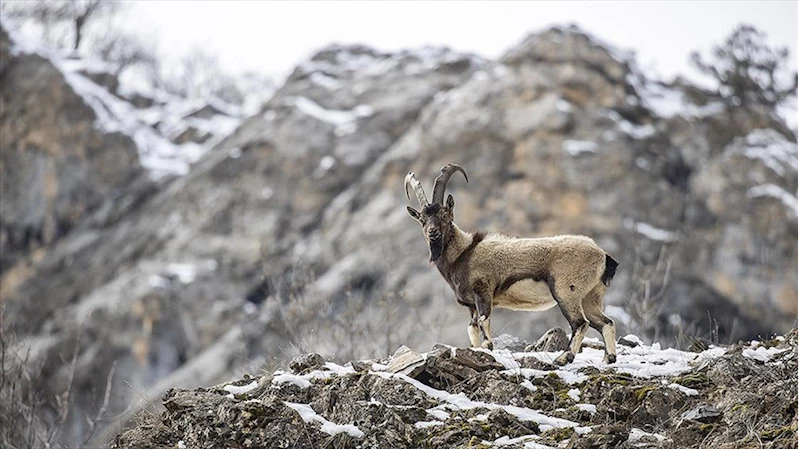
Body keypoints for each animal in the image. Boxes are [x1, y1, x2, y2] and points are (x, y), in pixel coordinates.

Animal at [406, 164, 620, 364]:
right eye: (422, 220)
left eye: (444, 215)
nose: (432, 233)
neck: (464, 253)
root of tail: (602, 255)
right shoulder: (471, 305)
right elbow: (472, 328)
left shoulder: (483, 292)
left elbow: (484, 321)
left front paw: (488, 346)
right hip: (590, 297)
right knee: (606, 322)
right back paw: (608, 358)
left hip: (567, 292)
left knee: (580, 323)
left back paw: (564, 357)